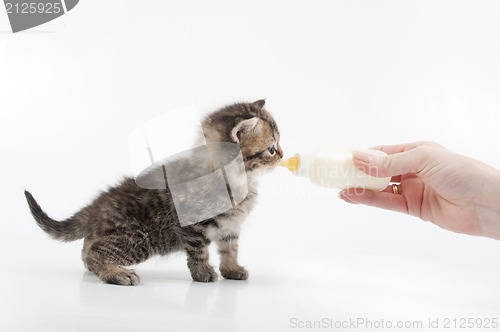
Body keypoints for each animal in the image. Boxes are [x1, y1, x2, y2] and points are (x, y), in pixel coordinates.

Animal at [24, 99, 282, 286]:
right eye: (271, 148)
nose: (281, 155)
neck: (238, 179)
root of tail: (98, 206)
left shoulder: (230, 226)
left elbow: (230, 249)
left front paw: (232, 269)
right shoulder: (192, 225)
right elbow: (198, 250)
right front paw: (203, 273)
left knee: (88, 248)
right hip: (141, 238)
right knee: (96, 250)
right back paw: (117, 274)